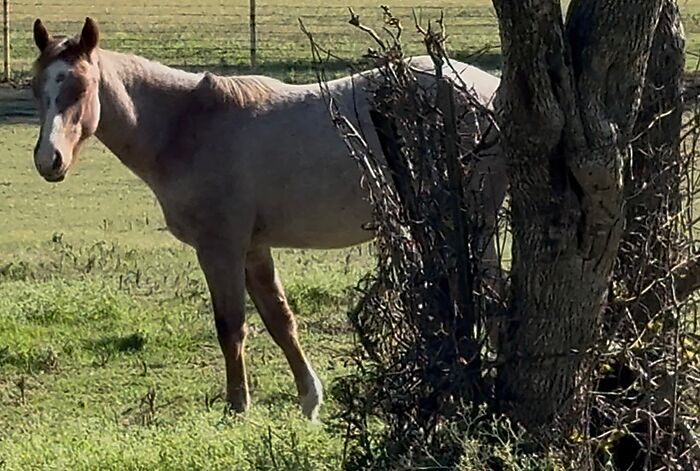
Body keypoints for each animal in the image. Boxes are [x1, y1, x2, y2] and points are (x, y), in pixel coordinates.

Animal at [29, 17, 507, 421]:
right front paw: (310, 400)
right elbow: (281, 321)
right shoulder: (254, 248)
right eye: (38, 90)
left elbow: (231, 327)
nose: (48, 161)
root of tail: (491, 91)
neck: (186, 126)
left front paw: (238, 407)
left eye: (81, 88)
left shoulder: (220, 249)